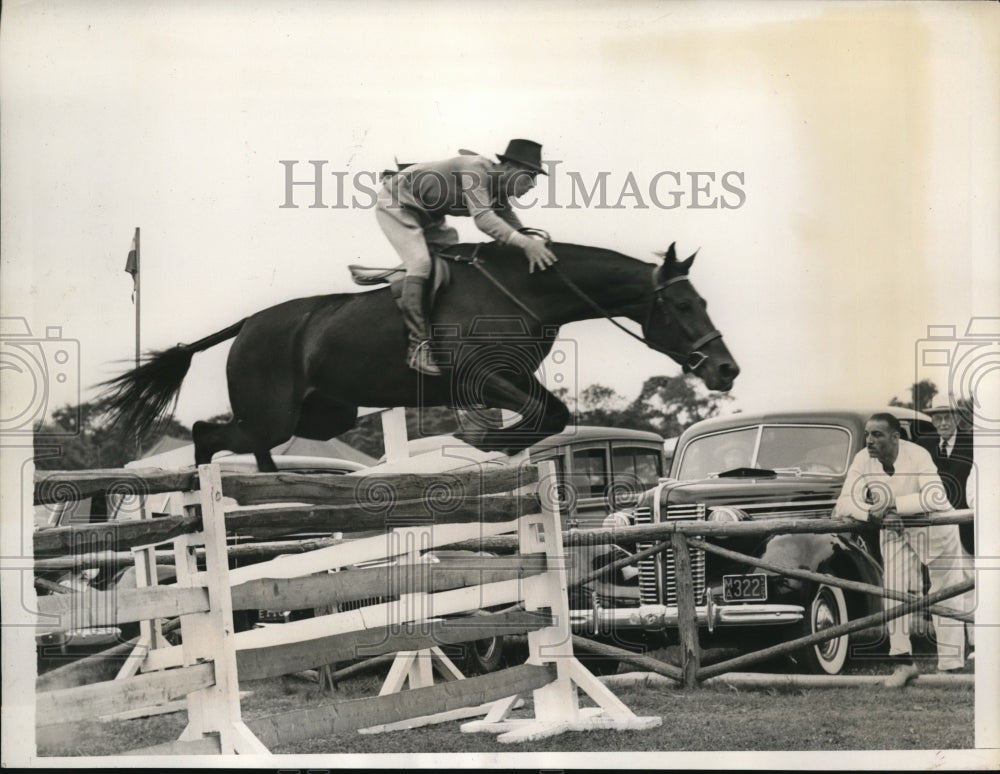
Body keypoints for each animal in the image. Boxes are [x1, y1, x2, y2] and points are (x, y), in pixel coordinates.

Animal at [101, 239, 740, 470]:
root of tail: (249, 324)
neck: (524, 290)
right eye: (683, 305)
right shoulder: (479, 377)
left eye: (704, 301)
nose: (726, 368)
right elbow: (544, 416)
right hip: (275, 411)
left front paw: (492, 445)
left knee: (242, 440)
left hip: (326, 414)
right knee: (210, 434)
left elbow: (551, 414)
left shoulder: (511, 379)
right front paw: (481, 442)